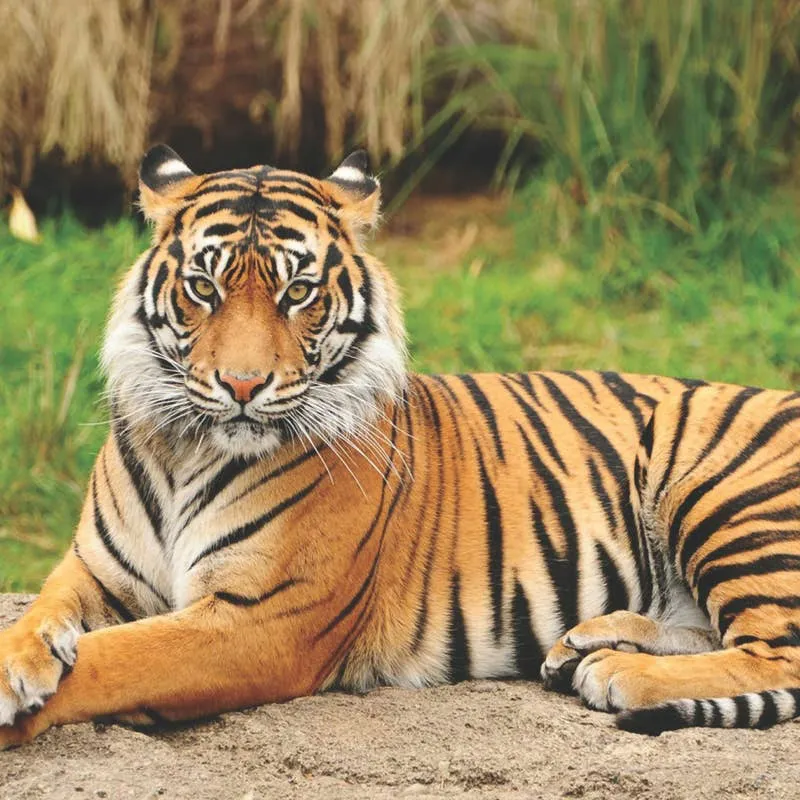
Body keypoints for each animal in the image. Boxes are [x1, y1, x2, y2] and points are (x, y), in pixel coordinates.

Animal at [2, 144, 800, 749]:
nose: (243, 385)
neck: (186, 449)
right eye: (204, 287)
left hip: (720, 493)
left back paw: (621, 674)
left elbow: (114, 659)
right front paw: (19, 663)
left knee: (778, 651)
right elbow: (39, 613)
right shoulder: (95, 570)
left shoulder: (259, 619)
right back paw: (591, 643)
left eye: (298, 293)